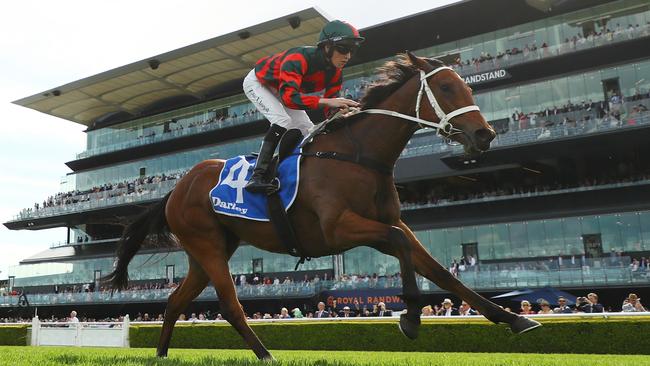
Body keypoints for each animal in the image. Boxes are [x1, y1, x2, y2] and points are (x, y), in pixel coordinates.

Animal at [104, 51, 540, 360]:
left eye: (466, 86)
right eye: (447, 88)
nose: (484, 135)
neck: (359, 154)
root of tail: (177, 188)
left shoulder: (388, 224)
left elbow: (441, 272)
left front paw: (515, 318)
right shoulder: (339, 229)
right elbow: (400, 244)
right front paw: (412, 318)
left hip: (207, 250)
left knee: (176, 300)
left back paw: (162, 354)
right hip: (207, 244)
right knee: (229, 304)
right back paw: (266, 354)